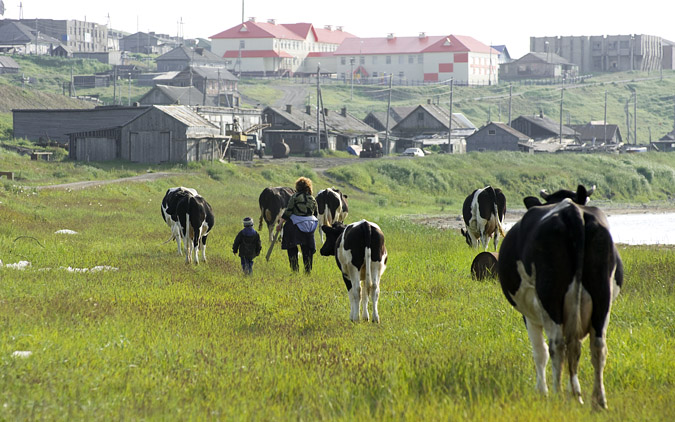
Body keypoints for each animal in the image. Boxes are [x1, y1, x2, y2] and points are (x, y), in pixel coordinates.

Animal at [496, 185, 624, 408]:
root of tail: (572, 211)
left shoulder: (529, 315)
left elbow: (540, 352)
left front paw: (542, 391)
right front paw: (576, 392)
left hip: (550, 297)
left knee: (556, 345)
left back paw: (557, 395)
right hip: (602, 296)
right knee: (597, 346)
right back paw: (598, 401)